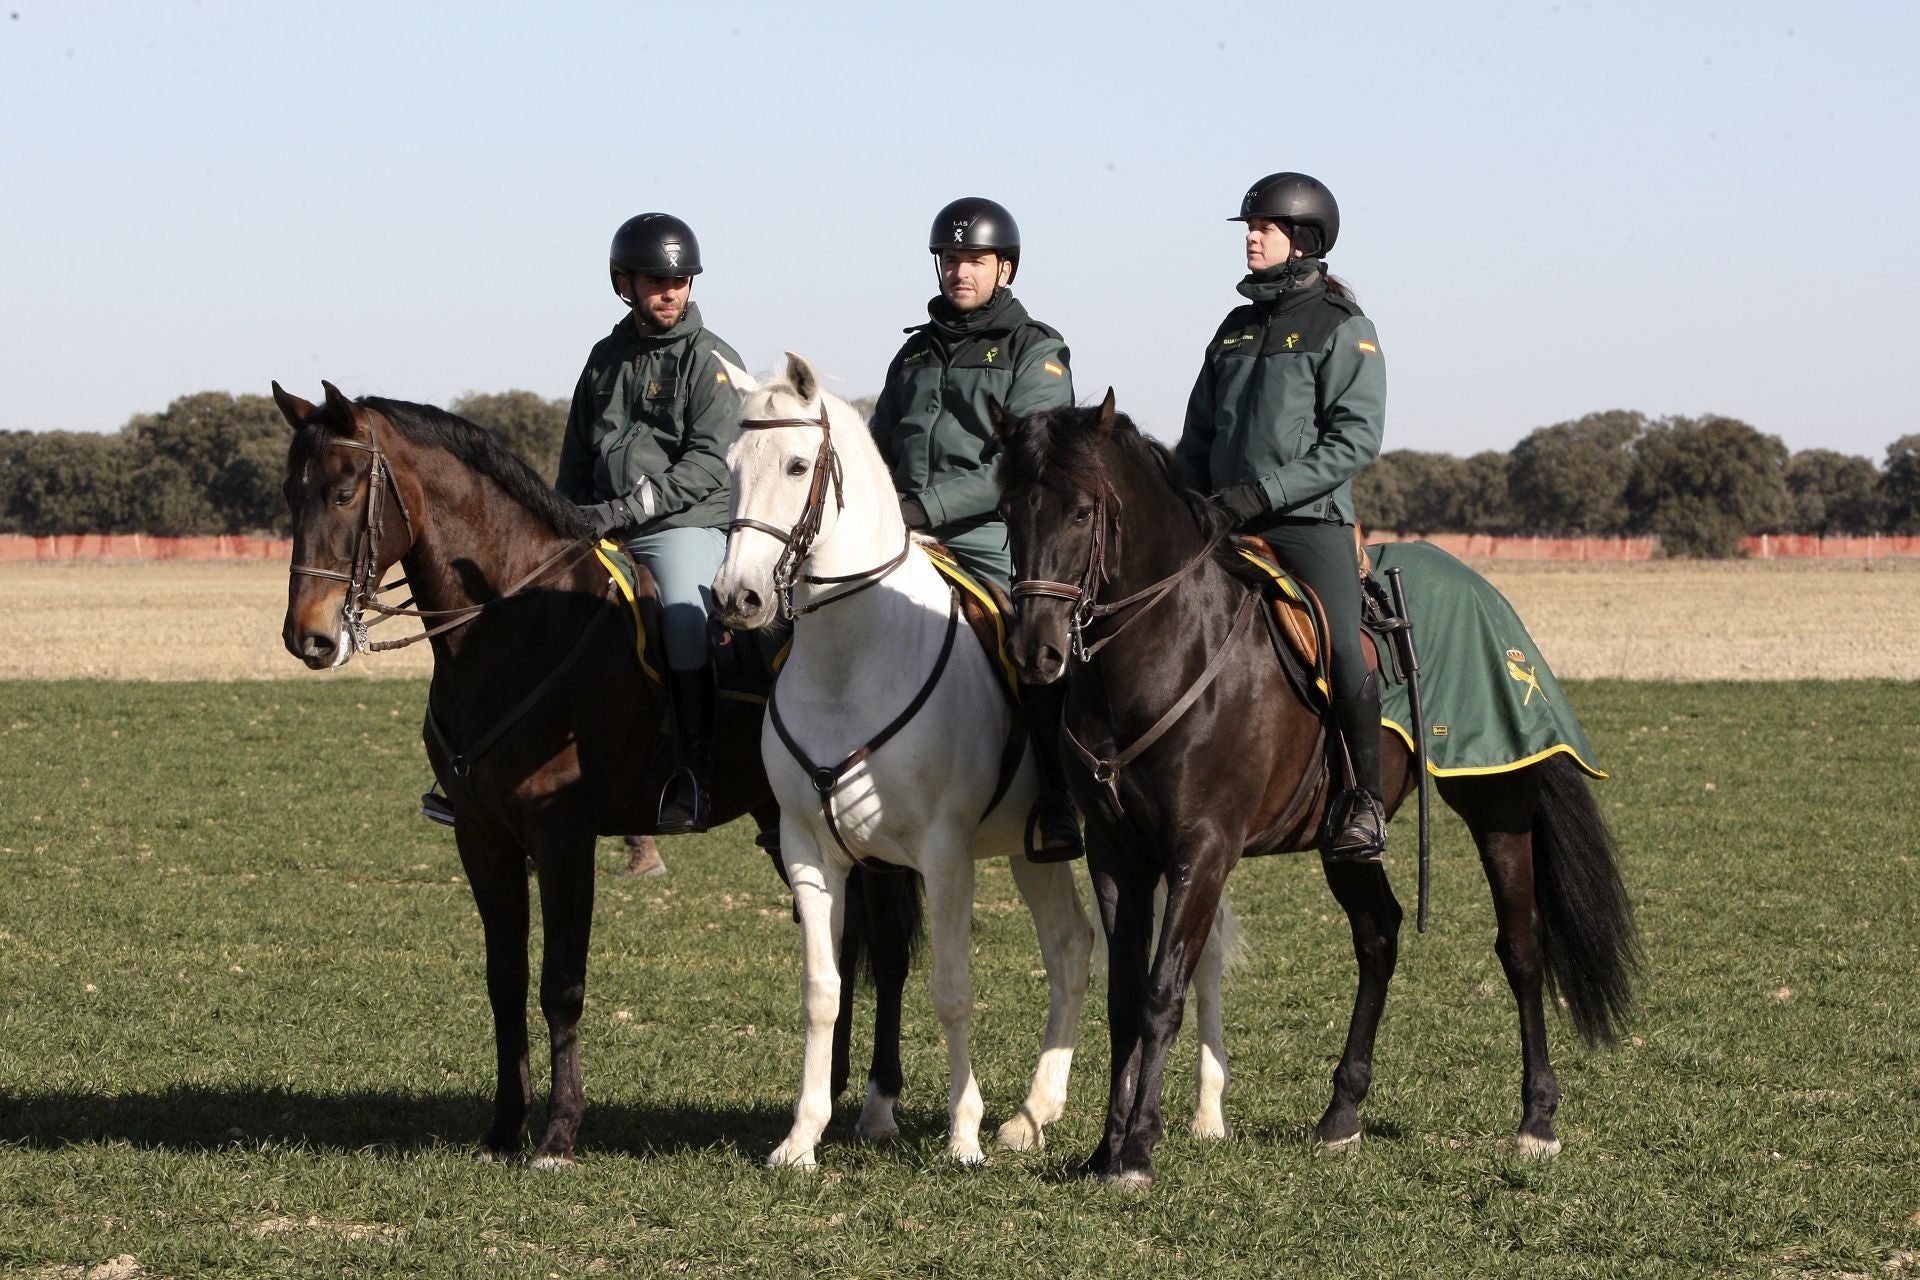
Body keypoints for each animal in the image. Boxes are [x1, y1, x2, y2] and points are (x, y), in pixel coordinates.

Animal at [272, 383, 921, 1174]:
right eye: (290, 494)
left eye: (342, 492)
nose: (308, 636)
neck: (511, 625)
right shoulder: (483, 841)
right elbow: (505, 981)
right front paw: (502, 1129)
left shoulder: (564, 837)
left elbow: (562, 985)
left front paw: (557, 1135)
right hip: (786, 823)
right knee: (844, 941)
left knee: (885, 951)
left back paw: (879, 1104)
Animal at [714, 353, 1236, 1174]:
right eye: (731, 466)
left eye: (798, 465)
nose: (737, 597)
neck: (850, 663)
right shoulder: (811, 850)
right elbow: (824, 991)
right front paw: (801, 1138)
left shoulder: (944, 852)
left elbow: (952, 989)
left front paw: (963, 1134)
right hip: (1036, 851)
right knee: (1071, 948)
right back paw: (1032, 1114)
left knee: (1200, 957)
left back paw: (1205, 1113)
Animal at [990, 393, 1635, 1189]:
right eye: (1008, 510)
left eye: (1082, 511)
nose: (1035, 650)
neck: (1165, 652)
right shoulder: (1118, 853)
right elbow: (1126, 996)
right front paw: (1104, 1149)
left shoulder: (1203, 848)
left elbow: (1164, 993)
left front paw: (1137, 1150)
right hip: (1344, 838)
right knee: (1379, 936)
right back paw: (1342, 1114)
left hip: (1498, 805)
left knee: (1521, 945)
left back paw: (1537, 1120)